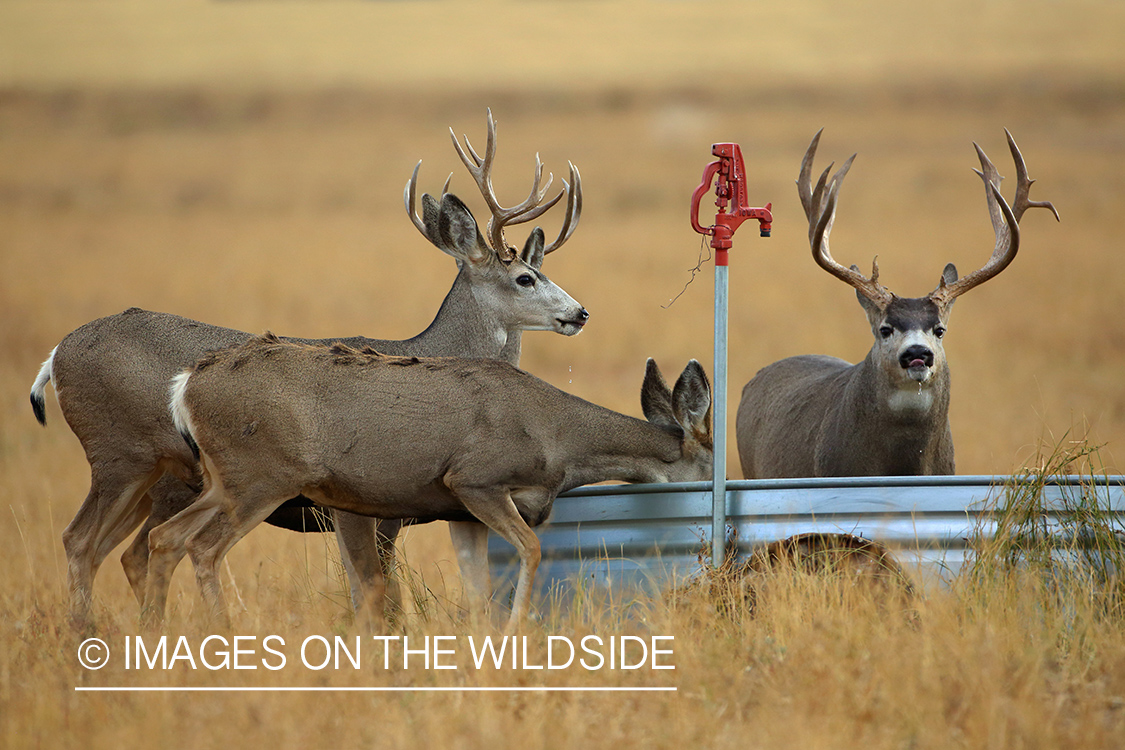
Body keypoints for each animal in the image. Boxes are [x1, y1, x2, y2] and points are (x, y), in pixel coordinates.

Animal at [29, 110, 587, 628]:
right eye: (525, 278)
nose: (580, 313)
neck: (431, 350)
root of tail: (56, 356)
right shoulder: (363, 502)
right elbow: (377, 589)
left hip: (149, 480)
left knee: (111, 549)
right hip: (122, 456)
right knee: (90, 542)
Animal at [142, 335, 713, 632]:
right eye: (710, 466)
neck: (558, 438)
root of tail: (184, 383)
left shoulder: (461, 513)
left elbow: (478, 590)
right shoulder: (474, 479)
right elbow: (530, 549)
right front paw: (516, 630)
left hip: (223, 481)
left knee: (163, 537)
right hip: (262, 476)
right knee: (203, 547)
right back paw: (226, 635)